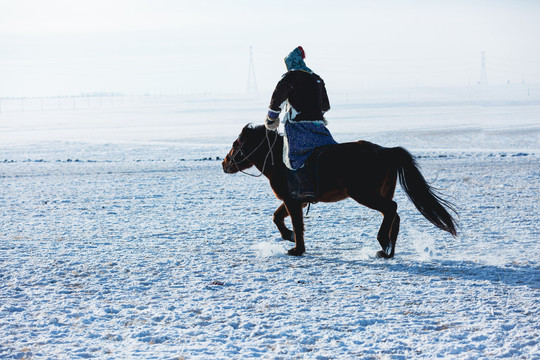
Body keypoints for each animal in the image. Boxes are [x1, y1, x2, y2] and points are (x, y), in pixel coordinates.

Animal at [221, 125, 458, 258]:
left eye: (236, 143)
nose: (225, 163)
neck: (281, 161)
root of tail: (388, 151)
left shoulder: (292, 200)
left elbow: (296, 224)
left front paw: (297, 248)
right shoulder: (296, 201)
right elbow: (277, 217)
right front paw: (289, 238)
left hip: (364, 194)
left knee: (391, 209)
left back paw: (383, 243)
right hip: (381, 192)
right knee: (394, 216)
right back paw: (387, 250)